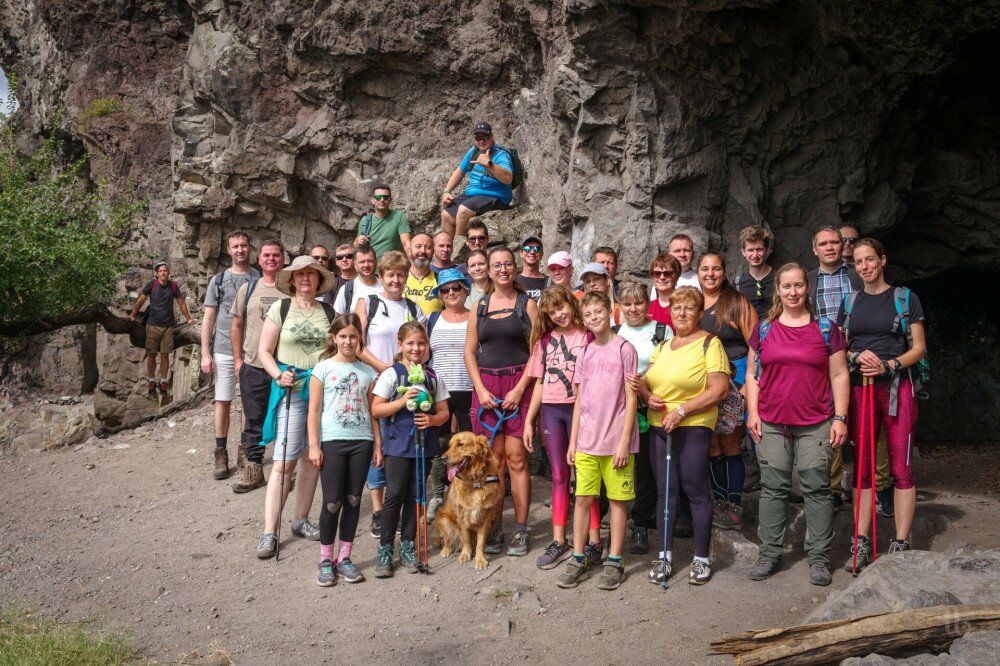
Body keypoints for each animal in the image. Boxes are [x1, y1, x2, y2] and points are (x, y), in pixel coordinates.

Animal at [434, 430, 504, 572]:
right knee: (447, 539)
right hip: (444, 520)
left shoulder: (487, 515)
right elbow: (465, 537)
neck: (474, 481)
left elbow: (480, 541)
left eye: (460, 444)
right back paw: (446, 549)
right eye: (449, 445)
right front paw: (465, 554)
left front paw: (480, 559)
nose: (443, 458)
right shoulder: (461, 514)